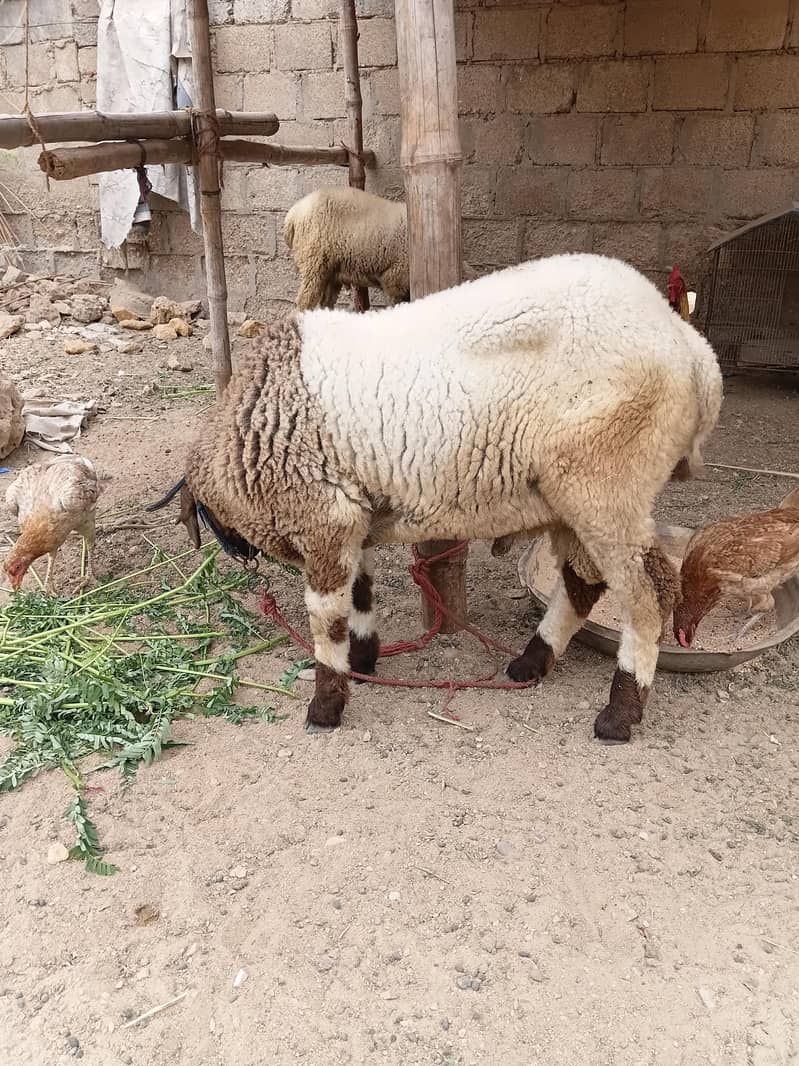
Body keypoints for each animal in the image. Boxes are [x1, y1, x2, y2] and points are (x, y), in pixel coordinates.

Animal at [165, 253, 723, 743]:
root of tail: (693, 348)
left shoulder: (324, 519)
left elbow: (327, 621)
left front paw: (326, 705)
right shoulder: (353, 517)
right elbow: (361, 593)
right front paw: (363, 661)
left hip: (606, 484)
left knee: (649, 595)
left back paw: (620, 713)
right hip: (576, 498)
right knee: (583, 585)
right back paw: (531, 663)